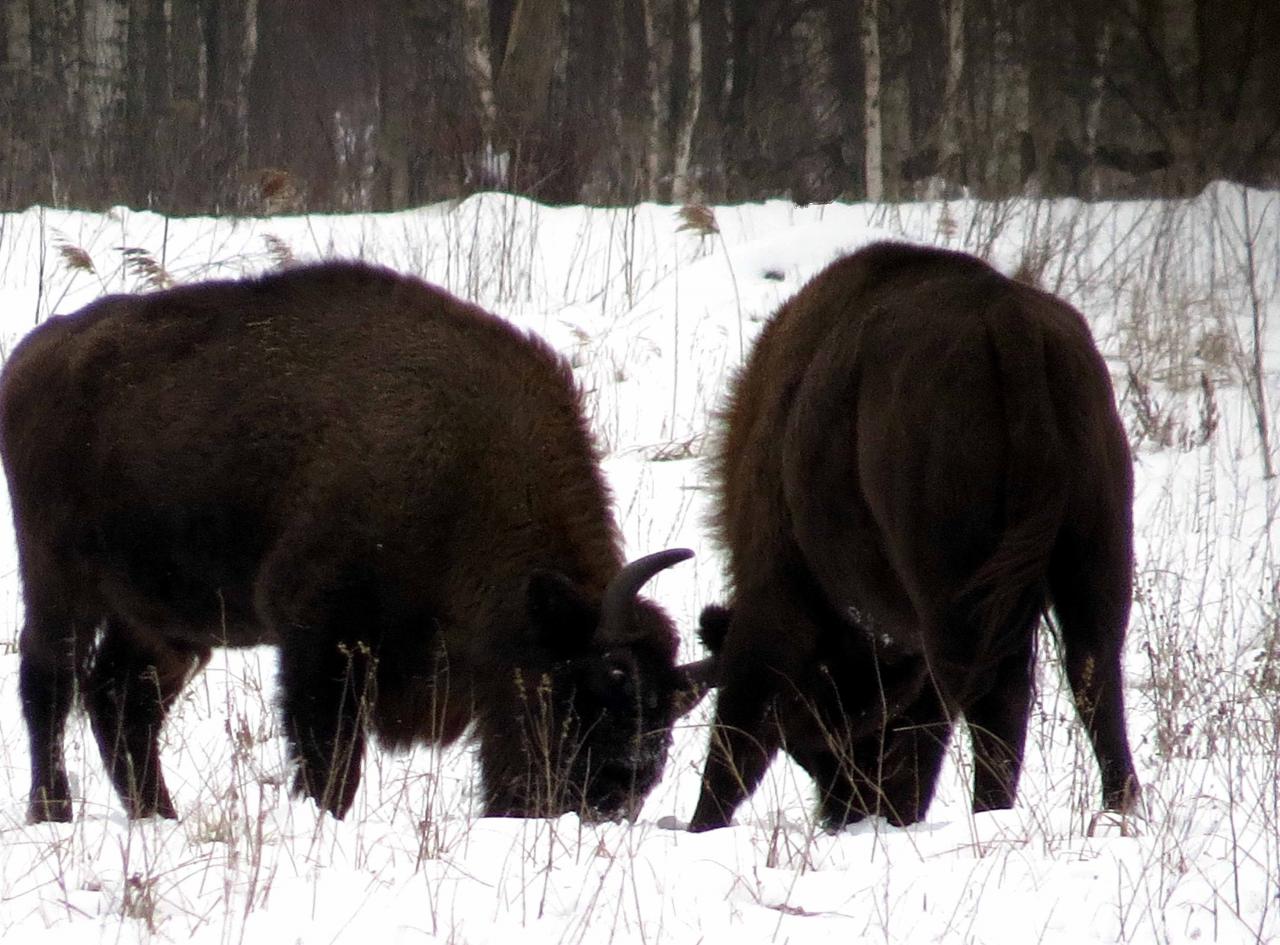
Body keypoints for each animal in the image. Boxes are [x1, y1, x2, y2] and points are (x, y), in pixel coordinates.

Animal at [2, 261, 711, 819]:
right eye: (594, 685)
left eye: (667, 718)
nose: (606, 800)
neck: (465, 461)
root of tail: (35, 354)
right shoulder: (323, 638)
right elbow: (331, 757)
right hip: (58, 581)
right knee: (50, 685)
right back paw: (53, 812)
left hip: (165, 623)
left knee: (121, 702)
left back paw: (159, 817)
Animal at [691, 239, 1141, 829]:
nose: (848, 809)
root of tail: (1007, 316)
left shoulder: (777, 593)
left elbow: (740, 724)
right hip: (1092, 555)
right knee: (1092, 676)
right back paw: (1113, 811)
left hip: (952, 594)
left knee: (982, 699)